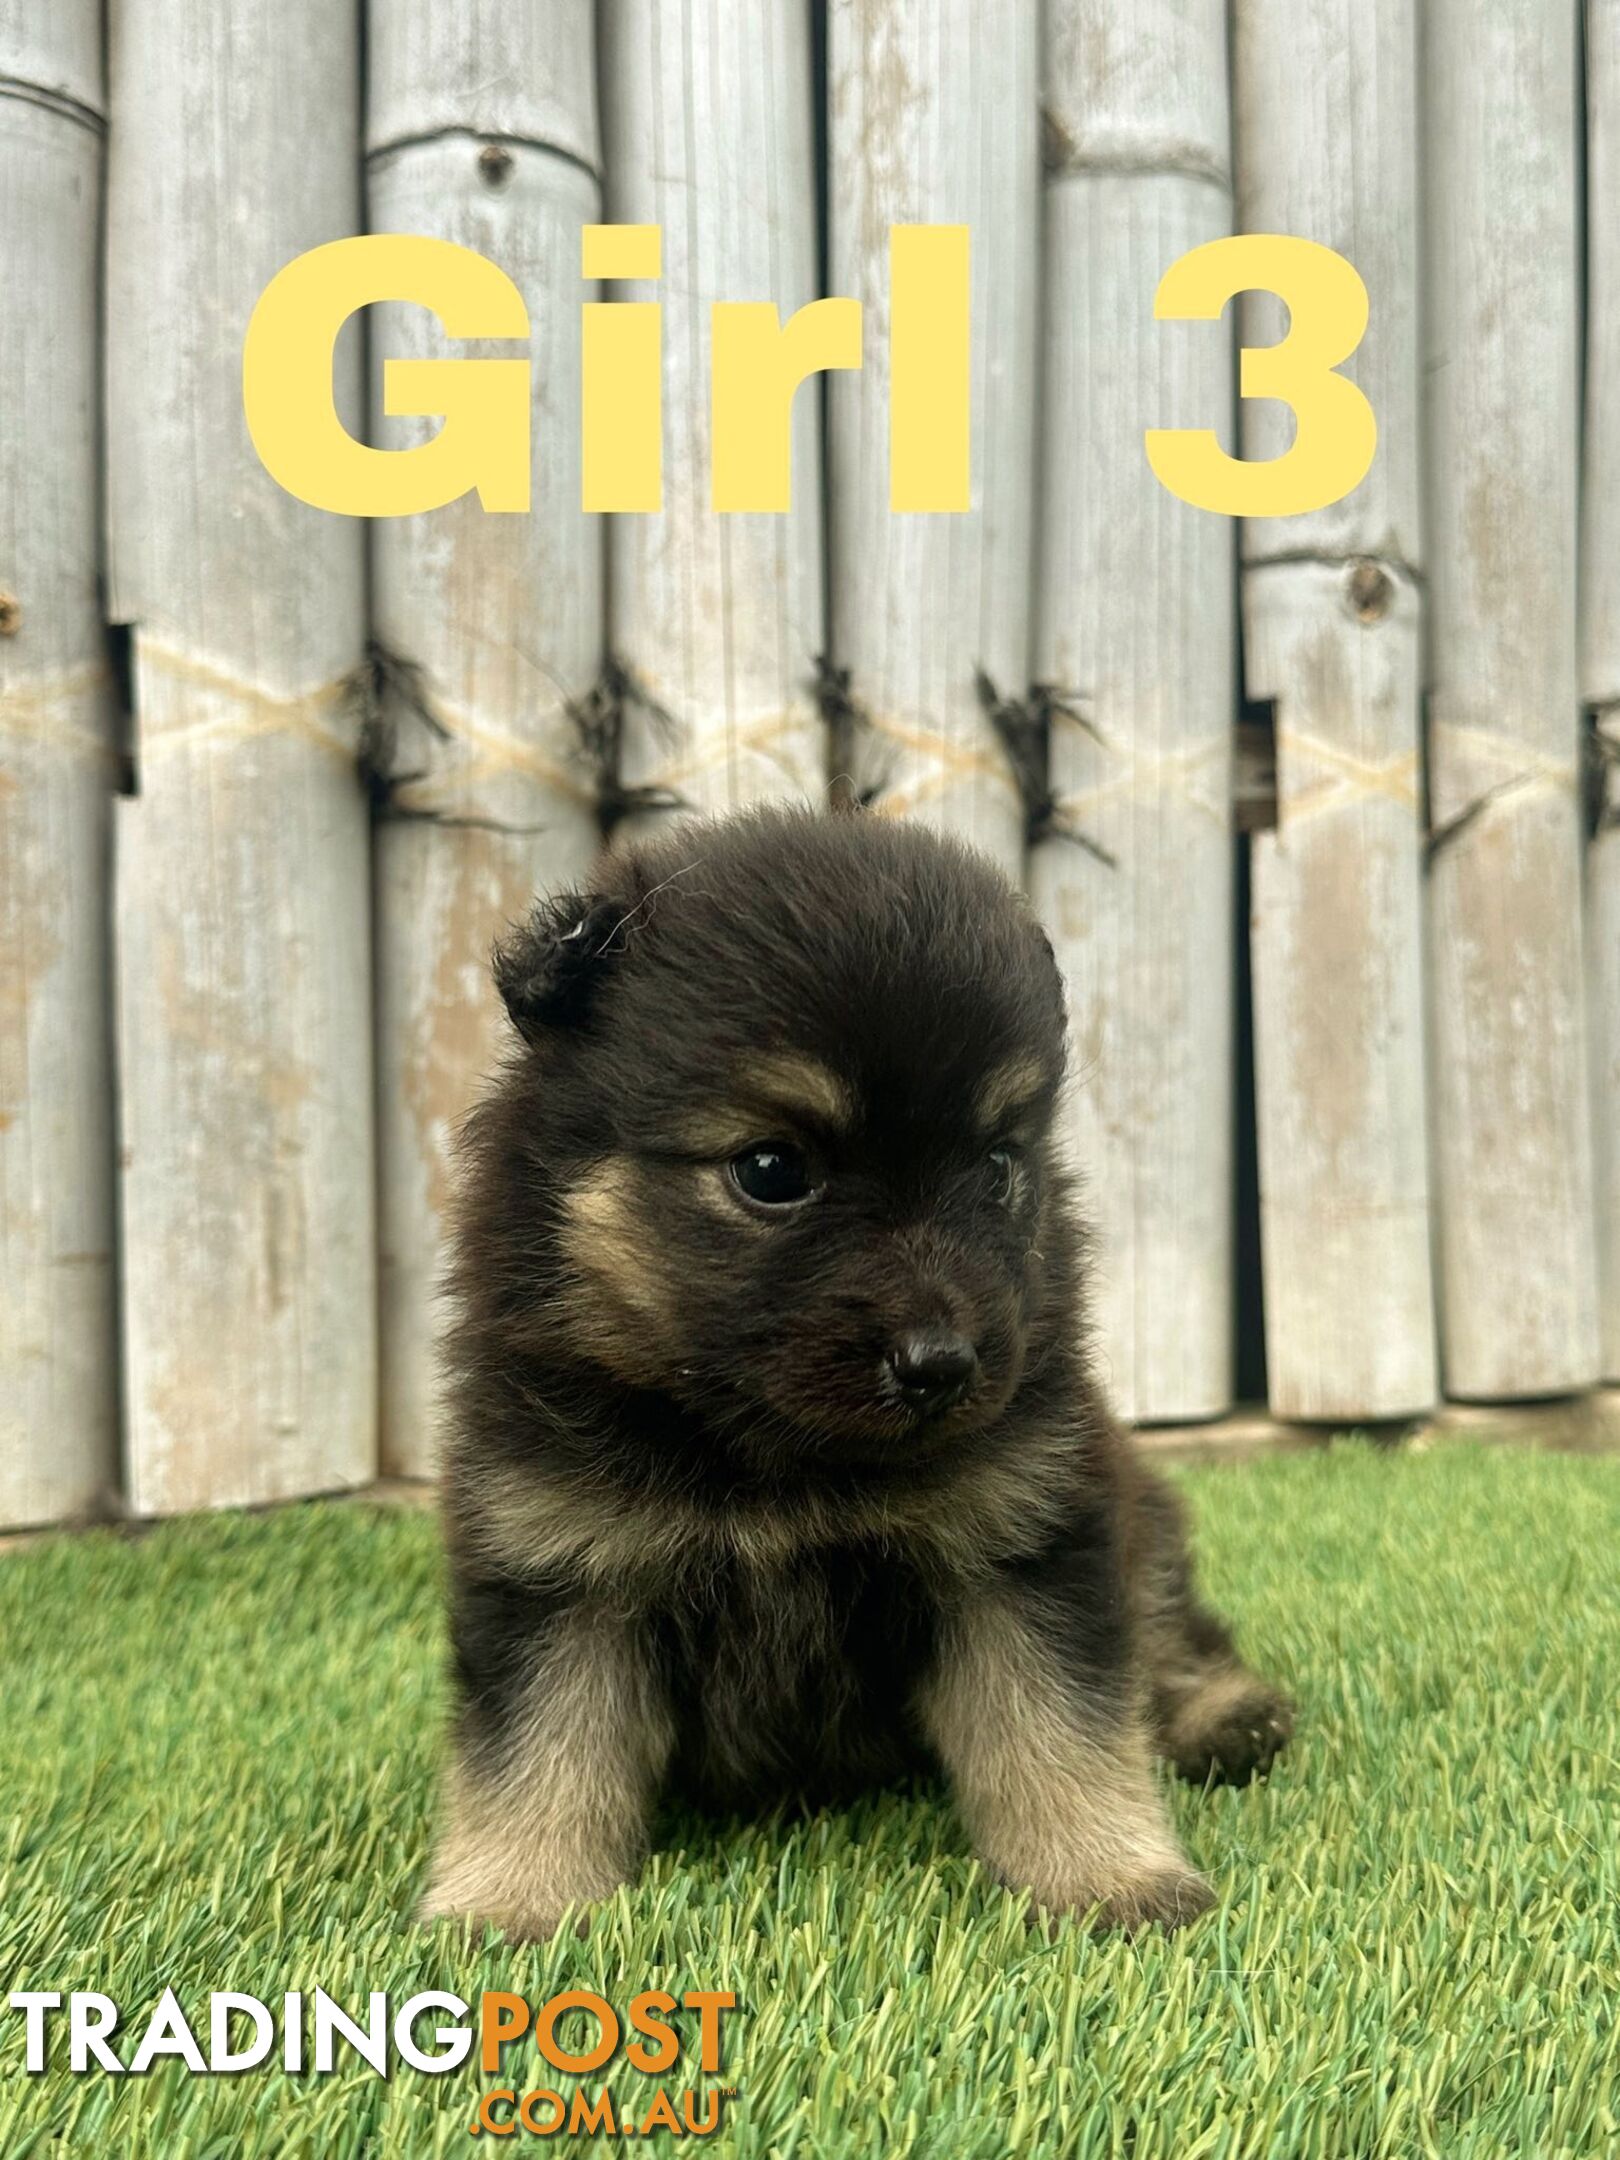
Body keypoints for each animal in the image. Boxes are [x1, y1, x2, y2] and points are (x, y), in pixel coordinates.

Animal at [421, 807, 1296, 1944]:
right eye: (771, 1170)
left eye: (1000, 1168)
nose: (943, 1365)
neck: (771, 1461)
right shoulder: (560, 1567)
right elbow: (537, 1751)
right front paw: (511, 1898)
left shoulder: (1018, 1539)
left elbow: (1061, 1726)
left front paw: (1110, 1876)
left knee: (1166, 1624)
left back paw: (1225, 1716)